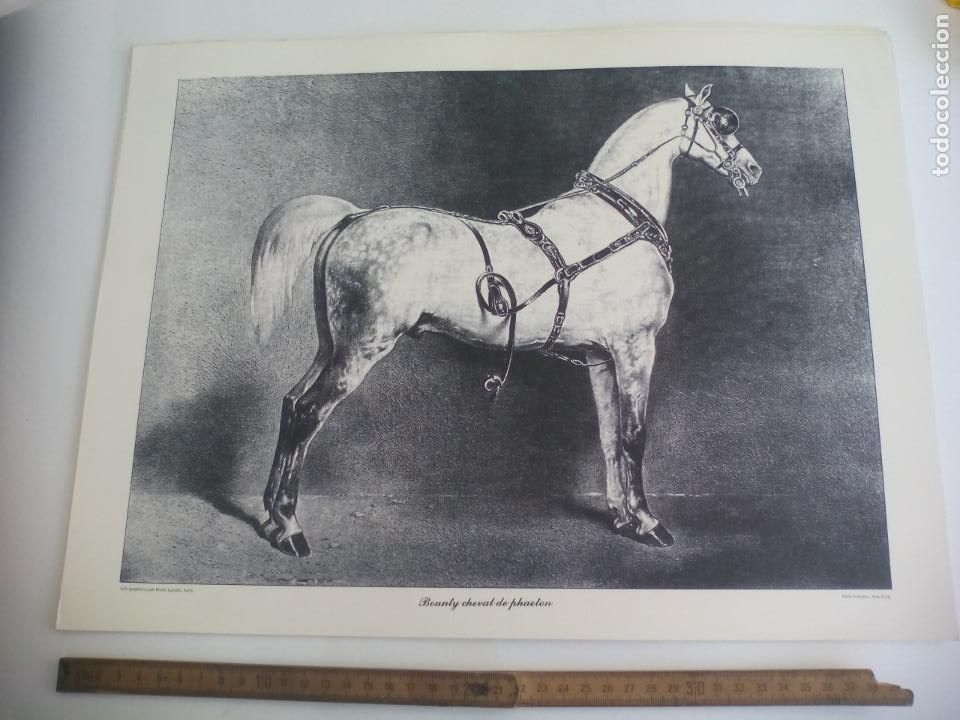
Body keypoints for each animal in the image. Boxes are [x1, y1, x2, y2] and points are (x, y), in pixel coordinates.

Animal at [251, 83, 762, 558]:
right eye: (722, 123)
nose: (753, 168)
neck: (613, 223)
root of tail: (353, 218)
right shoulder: (636, 349)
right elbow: (634, 436)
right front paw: (648, 522)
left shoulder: (601, 358)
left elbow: (610, 437)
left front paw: (621, 515)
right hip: (360, 349)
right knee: (309, 412)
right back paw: (290, 527)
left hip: (332, 346)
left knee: (291, 403)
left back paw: (273, 518)